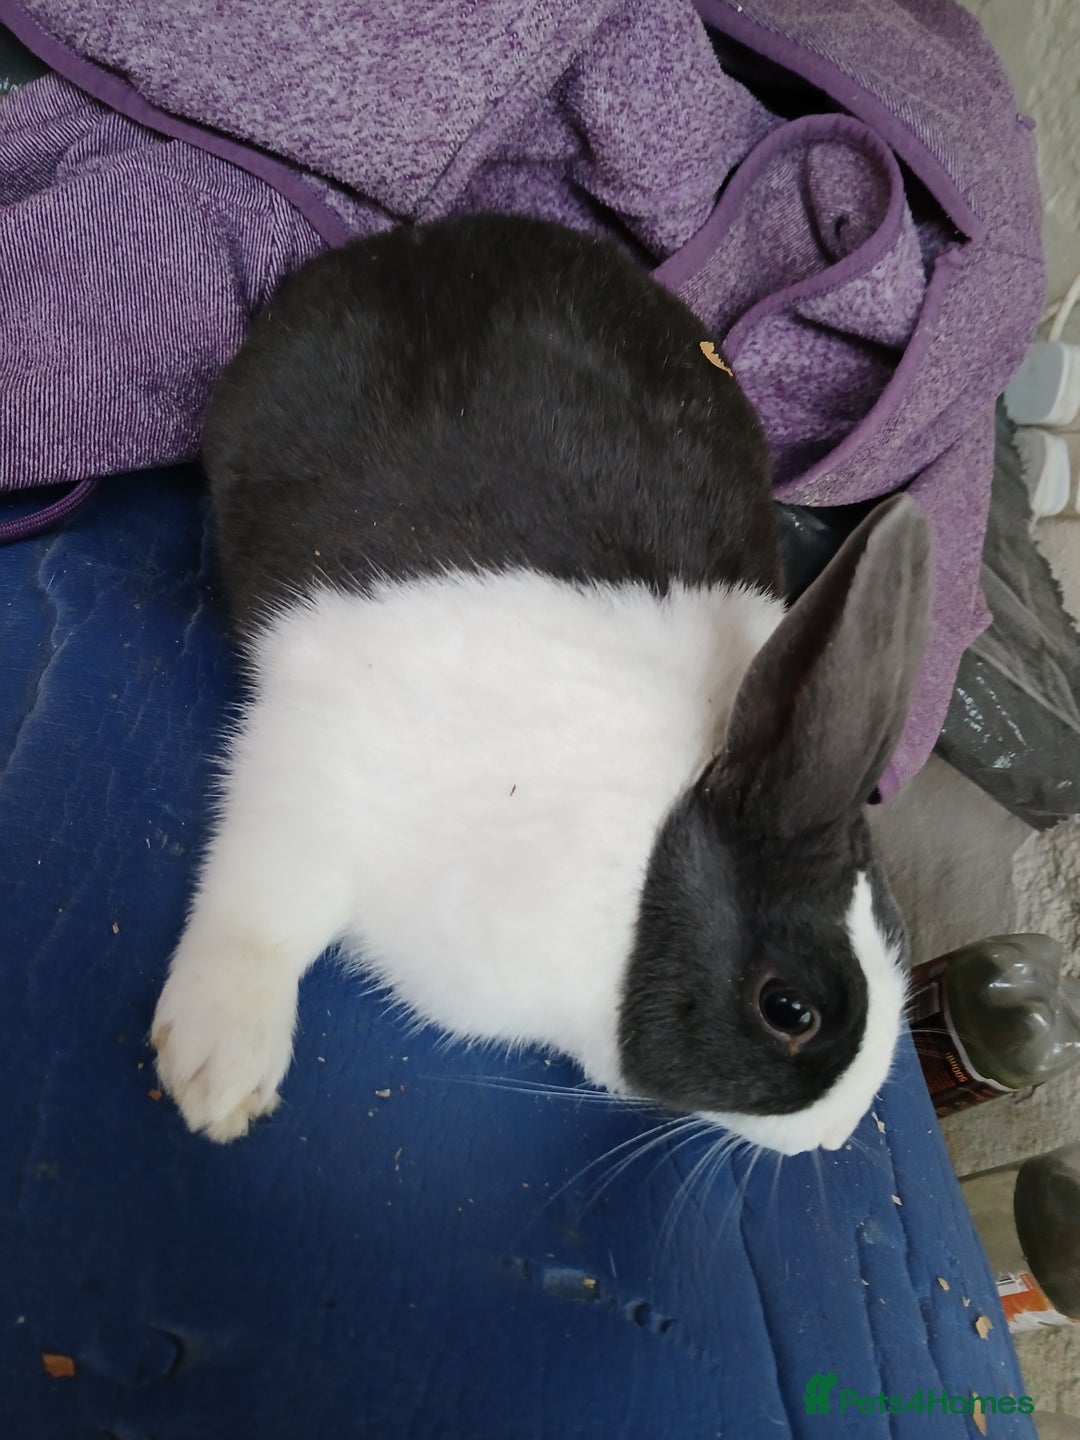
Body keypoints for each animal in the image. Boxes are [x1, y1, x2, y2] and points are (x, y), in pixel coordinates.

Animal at [150, 213, 932, 1155]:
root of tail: (416, 244)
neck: (641, 870)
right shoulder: (312, 765)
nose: (834, 1137)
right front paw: (218, 1074)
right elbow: (261, 911)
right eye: (788, 1009)